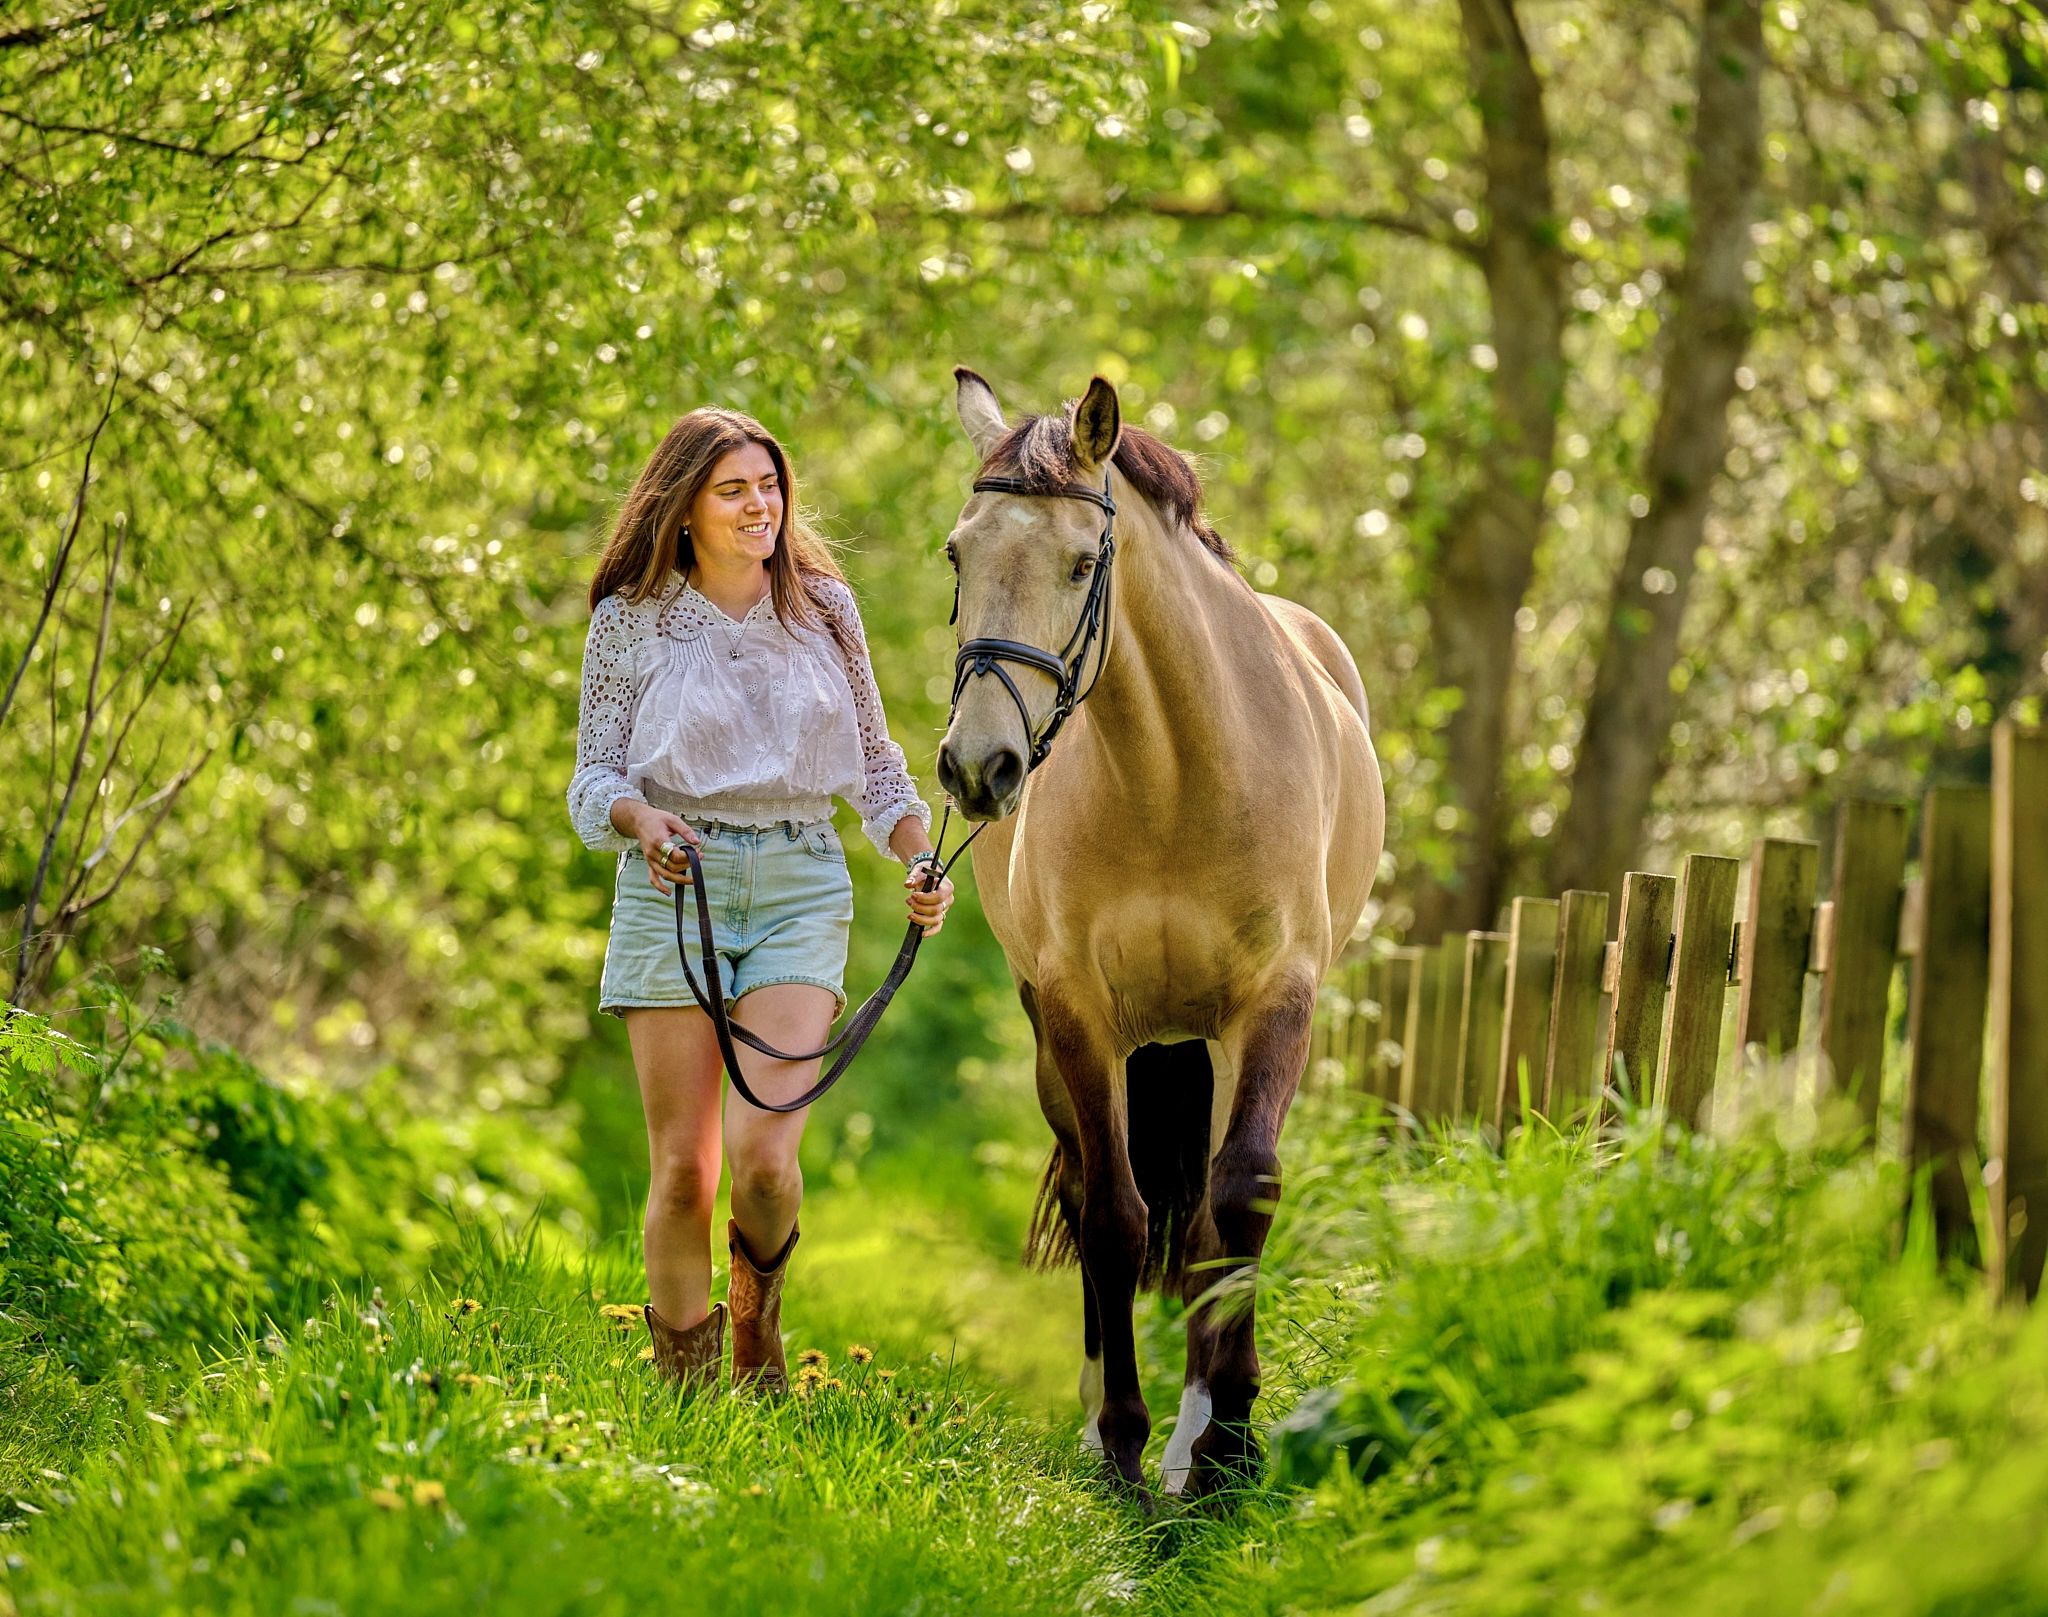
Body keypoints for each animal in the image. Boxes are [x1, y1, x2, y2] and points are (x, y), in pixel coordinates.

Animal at [935, 369, 1384, 1498]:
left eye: (1081, 561)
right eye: (958, 554)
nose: (977, 766)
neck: (1175, 777)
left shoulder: (1274, 1001)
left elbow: (1240, 1197)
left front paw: (1223, 1443)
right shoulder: (1077, 1013)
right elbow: (1113, 1212)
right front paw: (1126, 1445)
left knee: (1211, 1213)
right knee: (1099, 1189)